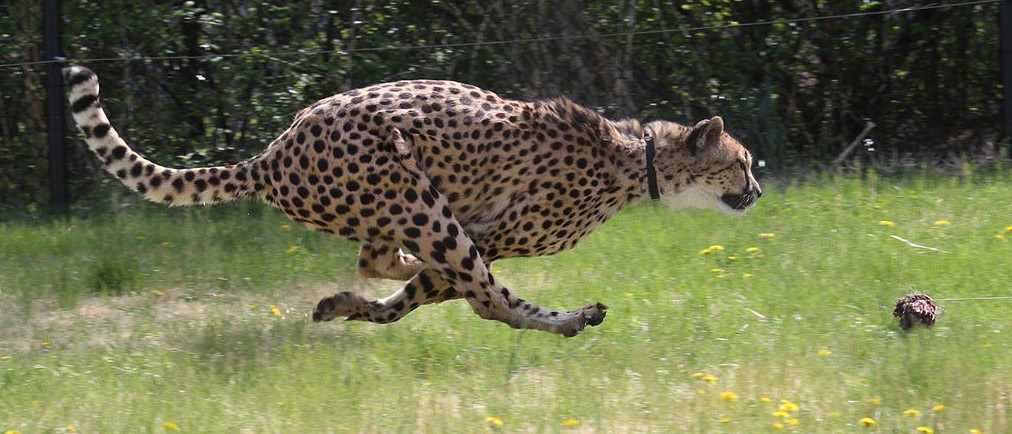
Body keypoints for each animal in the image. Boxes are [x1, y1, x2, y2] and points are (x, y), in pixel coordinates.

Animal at [65, 65, 761, 335]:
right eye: (742, 163)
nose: (757, 189)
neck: (637, 158)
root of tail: (271, 153)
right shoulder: (494, 235)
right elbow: (455, 291)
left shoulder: (477, 237)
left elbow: (417, 292)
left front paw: (350, 304)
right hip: (413, 191)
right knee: (487, 300)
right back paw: (570, 319)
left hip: (404, 206)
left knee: (379, 260)